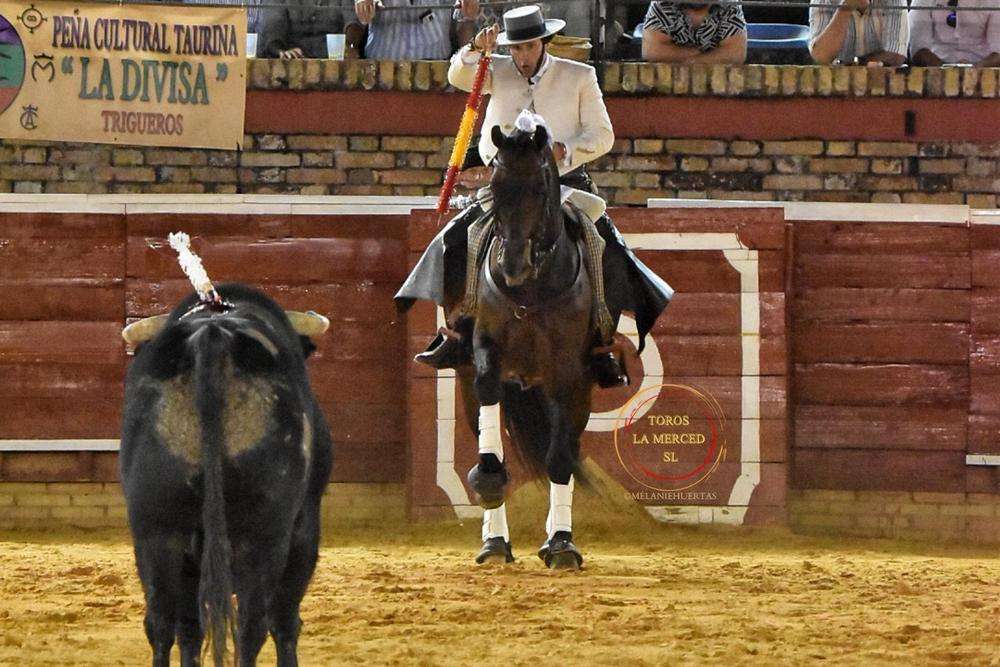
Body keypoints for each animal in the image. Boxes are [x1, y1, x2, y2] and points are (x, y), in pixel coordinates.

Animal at [119, 283, 333, 667]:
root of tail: (213, 334)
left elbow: (188, 628)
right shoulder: (305, 531)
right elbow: (284, 621)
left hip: (155, 529)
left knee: (162, 623)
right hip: (263, 536)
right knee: (252, 627)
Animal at [458, 122, 597, 570]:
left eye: (539, 188)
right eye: (495, 186)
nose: (512, 267)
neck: (531, 291)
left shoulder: (568, 375)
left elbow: (559, 459)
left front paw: (562, 545)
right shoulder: (485, 355)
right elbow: (492, 454)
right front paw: (488, 486)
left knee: (566, 449)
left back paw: (556, 537)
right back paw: (495, 542)